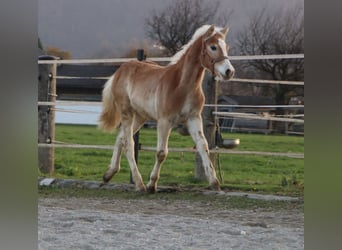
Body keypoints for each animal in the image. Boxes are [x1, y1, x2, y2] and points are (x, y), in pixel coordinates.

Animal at [97, 24, 234, 192]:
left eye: (226, 47)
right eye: (213, 47)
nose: (229, 72)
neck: (182, 85)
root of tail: (120, 71)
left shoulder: (194, 118)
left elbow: (203, 146)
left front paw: (214, 182)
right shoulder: (164, 121)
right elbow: (161, 153)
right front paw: (151, 184)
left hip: (140, 116)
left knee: (120, 138)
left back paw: (109, 174)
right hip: (127, 113)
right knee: (129, 144)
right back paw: (139, 183)